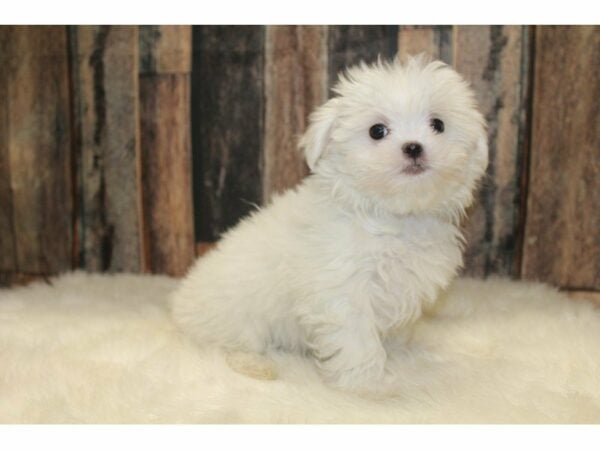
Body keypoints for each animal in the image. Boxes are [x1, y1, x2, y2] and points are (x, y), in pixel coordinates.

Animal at [170, 54, 488, 390]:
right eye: (377, 131)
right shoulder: (343, 290)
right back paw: (256, 365)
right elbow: (357, 340)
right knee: (223, 349)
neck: (391, 215)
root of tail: (179, 307)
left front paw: (398, 353)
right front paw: (366, 385)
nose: (413, 146)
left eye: (438, 125)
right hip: (235, 318)